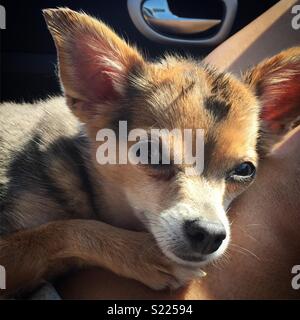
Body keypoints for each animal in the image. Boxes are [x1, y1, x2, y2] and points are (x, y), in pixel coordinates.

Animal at [0, 8, 300, 298]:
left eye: (244, 170)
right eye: (150, 153)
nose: (209, 234)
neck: (82, 174)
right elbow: (66, 229)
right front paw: (142, 254)